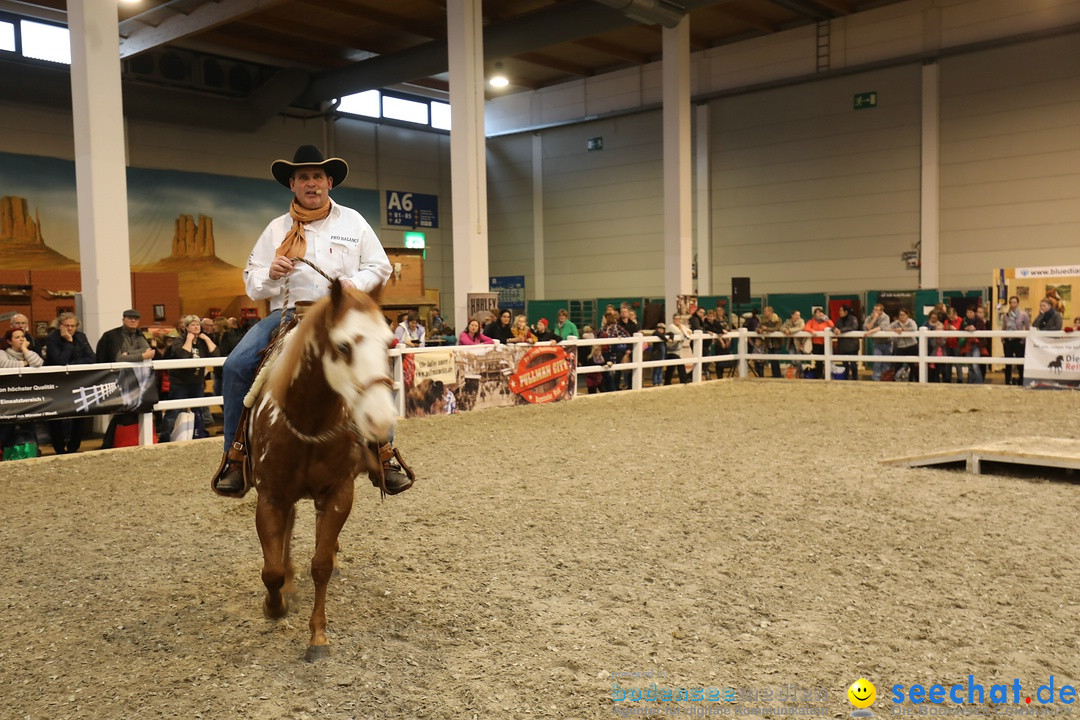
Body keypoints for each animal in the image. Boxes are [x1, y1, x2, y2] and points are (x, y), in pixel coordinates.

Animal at [247, 278, 399, 660]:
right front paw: (275, 604)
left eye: (389, 345)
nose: (380, 420)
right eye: (343, 346)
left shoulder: (338, 493)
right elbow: (271, 569)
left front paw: (317, 636)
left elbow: (321, 565)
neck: (308, 422)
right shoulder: (270, 497)